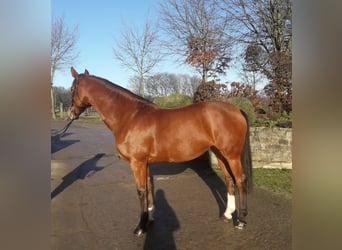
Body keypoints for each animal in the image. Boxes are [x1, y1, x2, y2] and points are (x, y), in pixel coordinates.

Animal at [68, 67, 252, 235]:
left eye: (72, 89)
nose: (71, 113)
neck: (130, 116)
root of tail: (236, 109)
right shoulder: (145, 163)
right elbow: (149, 188)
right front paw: (149, 219)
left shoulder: (137, 163)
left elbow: (141, 191)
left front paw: (140, 227)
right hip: (220, 154)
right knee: (229, 180)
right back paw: (227, 214)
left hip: (232, 156)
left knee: (240, 180)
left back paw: (241, 221)